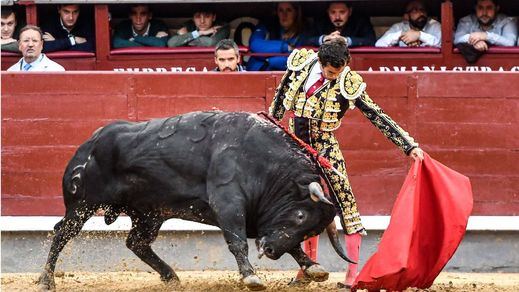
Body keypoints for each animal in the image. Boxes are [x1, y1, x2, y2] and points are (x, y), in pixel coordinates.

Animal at [38, 111, 352, 290]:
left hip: (149, 213)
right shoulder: (228, 203)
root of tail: (89, 144)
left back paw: (170, 276)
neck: (266, 164)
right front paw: (250, 277)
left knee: (137, 242)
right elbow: (237, 241)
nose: (272, 252)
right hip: (82, 205)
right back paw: (46, 280)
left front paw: (313, 268)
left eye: (311, 229)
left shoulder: (264, 222)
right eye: (300, 216)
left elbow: (293, 246)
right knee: (62, 233)